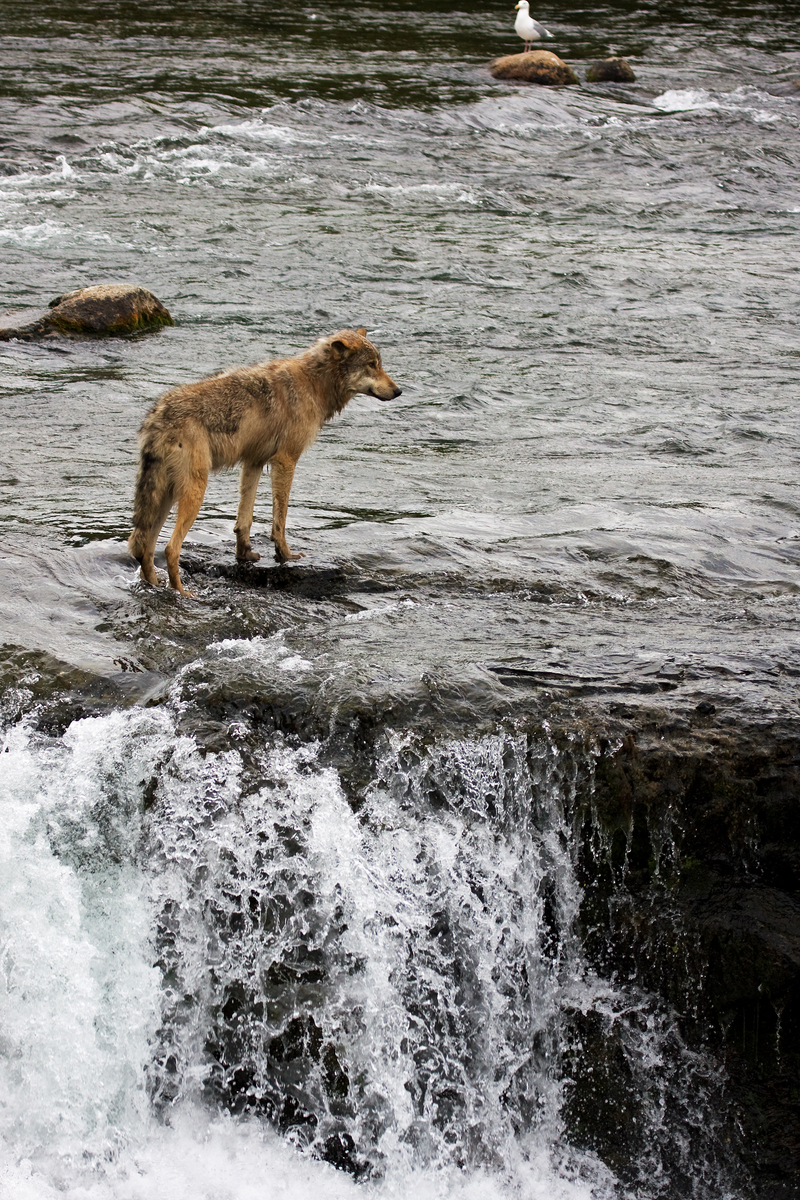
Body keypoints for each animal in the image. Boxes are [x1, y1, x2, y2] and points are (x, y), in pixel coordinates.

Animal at [128, 328, 402, 595]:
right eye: (371, 365)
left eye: (379, 364)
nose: (399, 391)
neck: (313, 383)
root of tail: (158, 416)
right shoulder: (286, 460)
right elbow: (280, 518)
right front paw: (286, 555)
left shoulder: (254, 462)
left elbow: (244, 520)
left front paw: (245, 555)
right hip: (193, 492)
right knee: (169, 548)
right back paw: (182, 593)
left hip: (164, 496)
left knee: (142, 546)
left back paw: (154, 584)